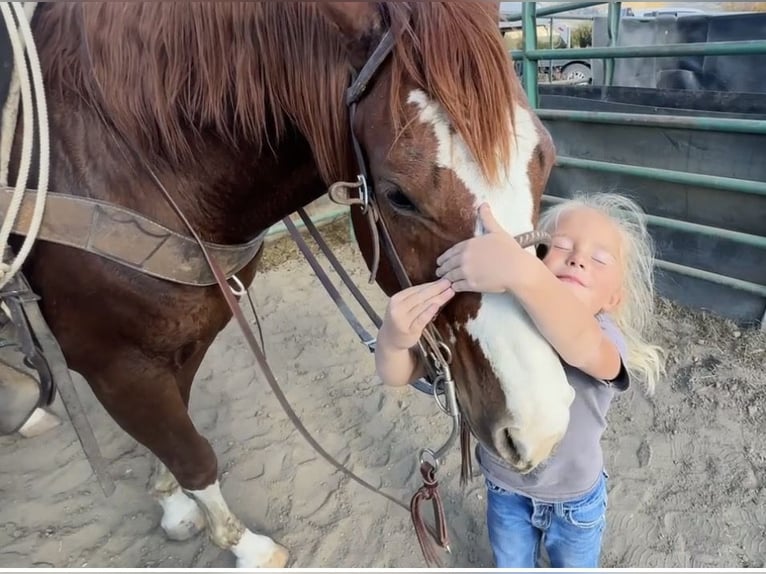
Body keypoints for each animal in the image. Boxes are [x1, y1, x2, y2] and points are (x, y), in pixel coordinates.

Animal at [3, 1, 574, 567]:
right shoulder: (114, 363)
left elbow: (175, 428)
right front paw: (243, 545)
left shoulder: (183, 339)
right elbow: (192, 453)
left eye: (546, 158)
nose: (541, 425)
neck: (125, 159)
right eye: (399, 196)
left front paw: (174, 503)